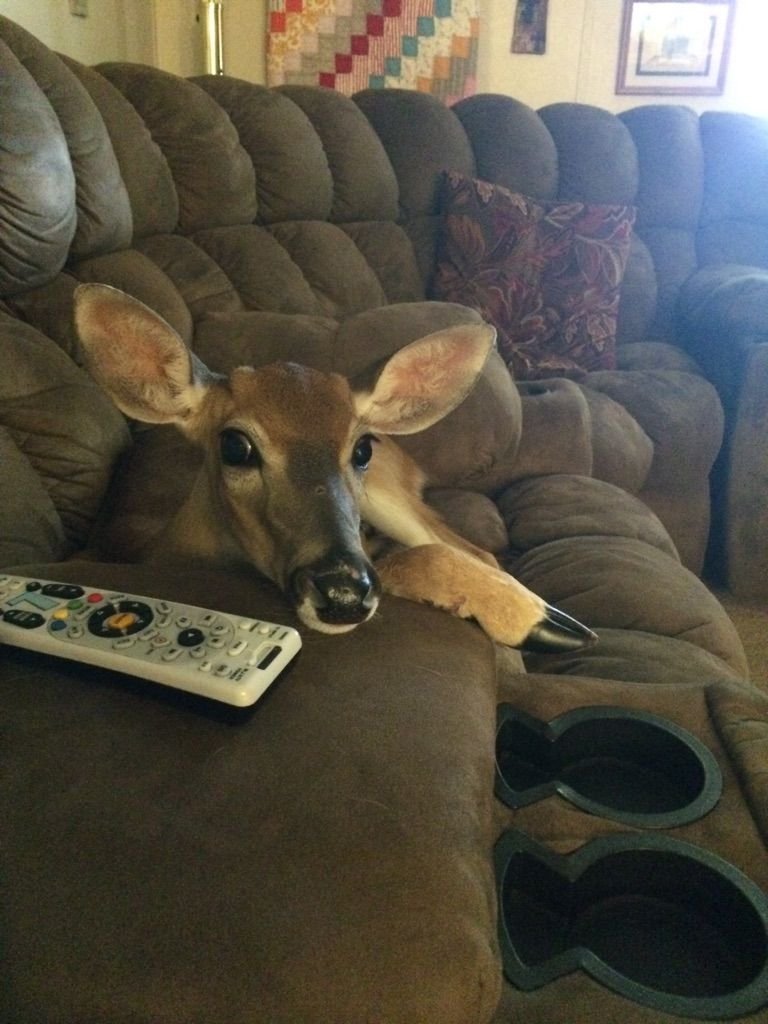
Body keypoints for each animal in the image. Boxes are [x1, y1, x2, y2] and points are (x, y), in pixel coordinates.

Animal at [73, 284, 596, 653]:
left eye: (361, 448)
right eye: (235, 446)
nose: (343, 594)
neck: (157, 547)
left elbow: (409, 561)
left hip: (390, 499)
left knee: (470, 548)